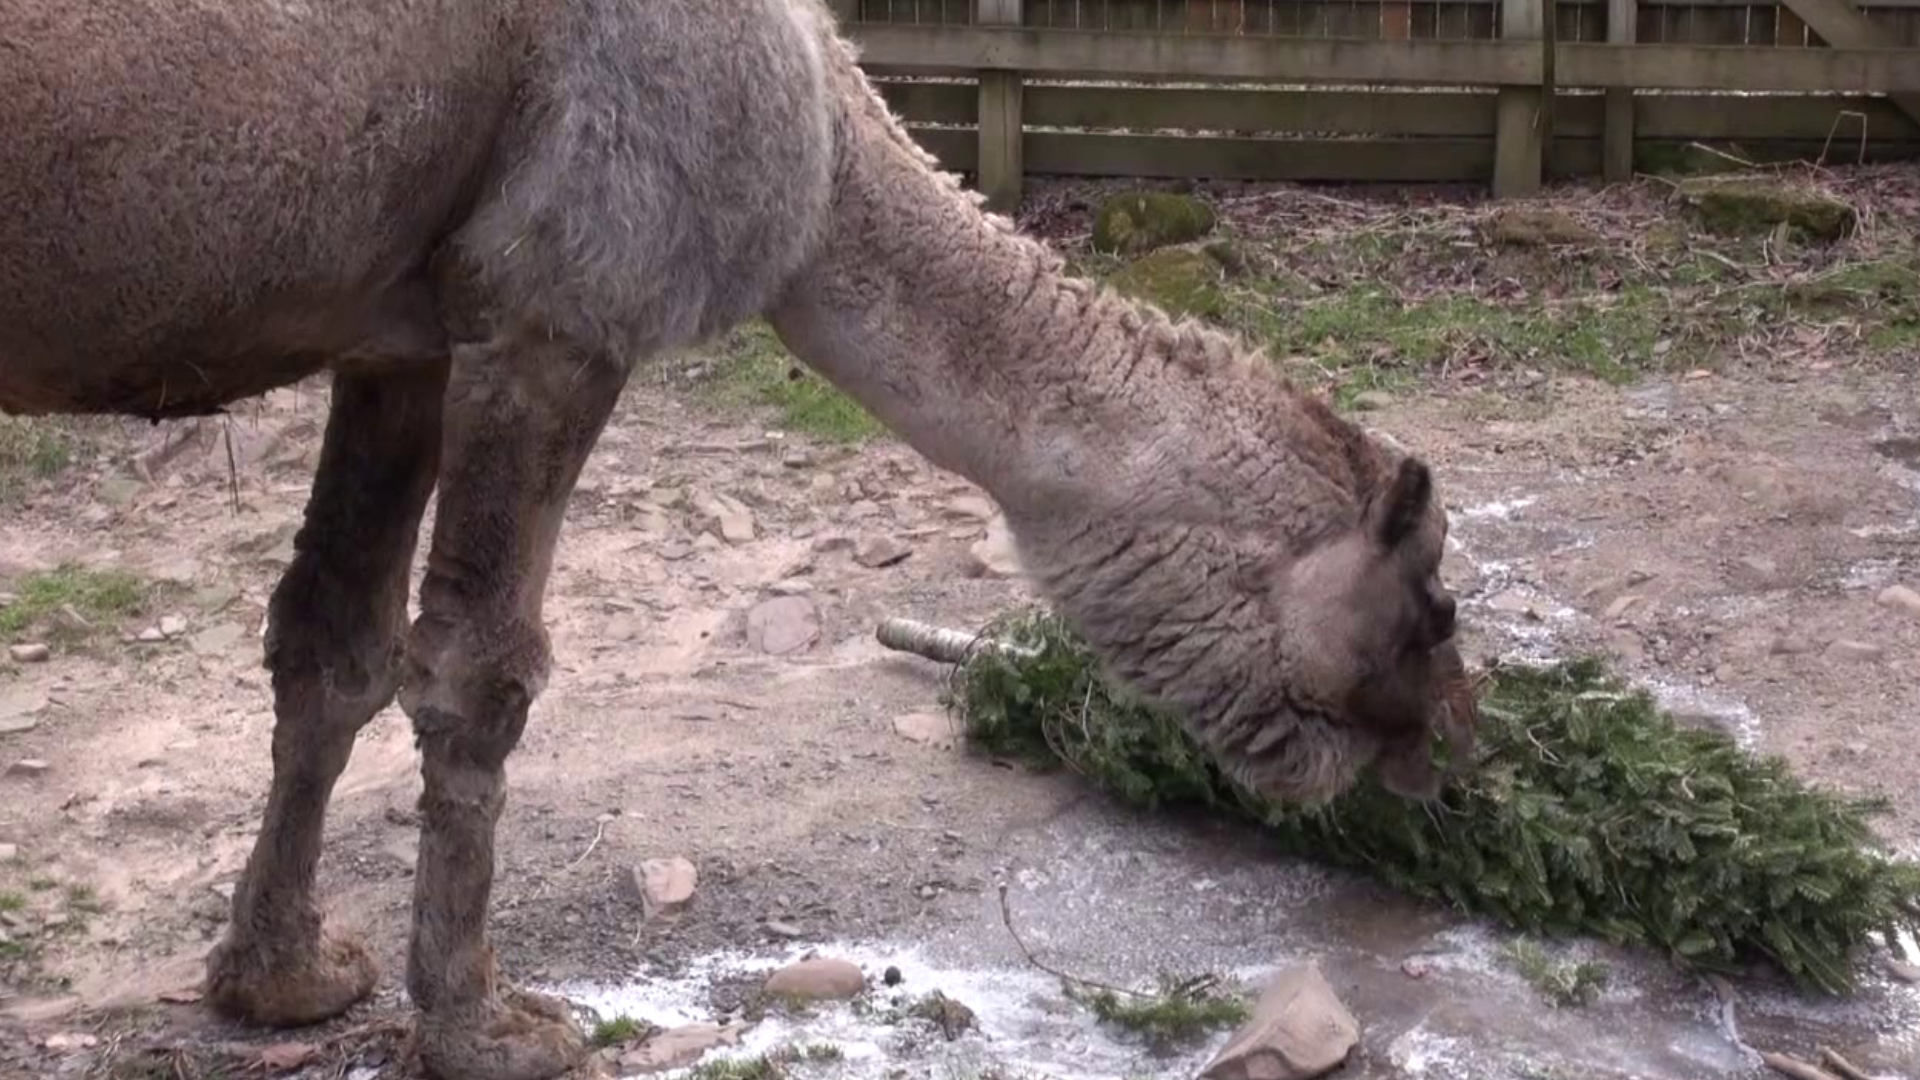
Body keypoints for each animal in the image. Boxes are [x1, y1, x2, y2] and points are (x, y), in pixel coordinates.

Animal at [0, 2, 1466, 1068]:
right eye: (1431, 602)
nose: (1453, 746)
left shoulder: (402, 325)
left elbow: (332, 649)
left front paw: (285, 980)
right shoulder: (559, 301)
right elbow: (477, 675)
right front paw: (489, 1026)